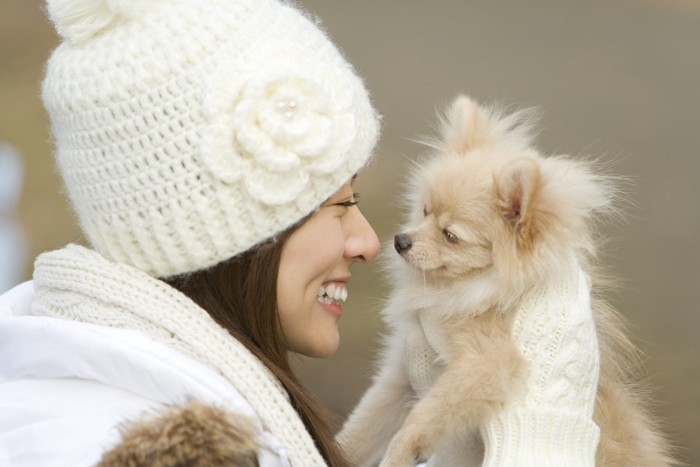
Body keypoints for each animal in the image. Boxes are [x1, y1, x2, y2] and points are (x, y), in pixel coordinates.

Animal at [336, 97, 676, 466]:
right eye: (425, 211)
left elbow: (426, 414)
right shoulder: (399, 375)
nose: (401, 241)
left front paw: (399, 451)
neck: (461, 286)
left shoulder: (487, 364)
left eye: (451, 236)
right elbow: (364, 426)